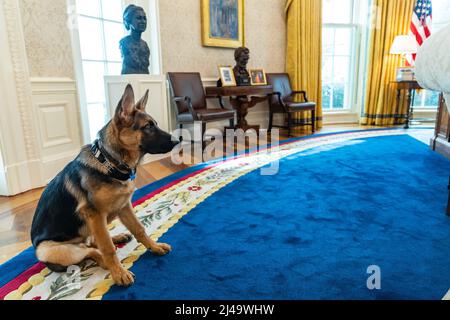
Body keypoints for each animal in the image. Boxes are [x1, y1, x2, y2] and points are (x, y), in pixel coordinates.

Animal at [31, 84, 179, 284]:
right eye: (147, 126)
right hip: (51, 248)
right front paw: (118, 272)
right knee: (90, 250)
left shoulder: (124, 206)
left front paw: (154, 246)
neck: (109, 162)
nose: (178, 140)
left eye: (154, 124)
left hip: (103, 220)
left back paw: (117, 237)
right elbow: (107, 248)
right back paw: (104, 261)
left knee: (93, 242)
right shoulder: (94, 215)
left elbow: (139, 229)